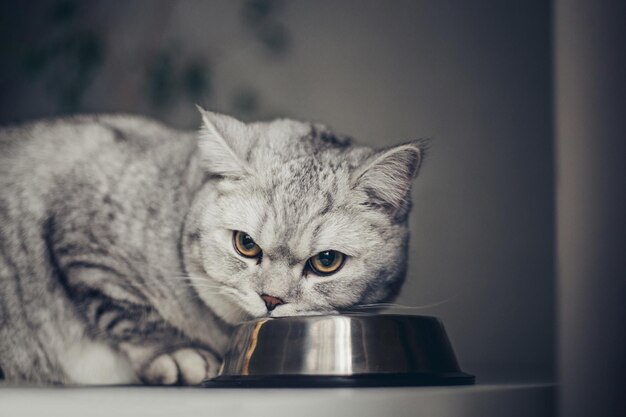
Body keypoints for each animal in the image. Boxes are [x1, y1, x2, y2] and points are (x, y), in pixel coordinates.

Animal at [0, 109, 424, 386]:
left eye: (326, 261)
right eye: (246, 244)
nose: (271, 299)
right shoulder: (86, 244)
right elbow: (129, 312)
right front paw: (175, 352)